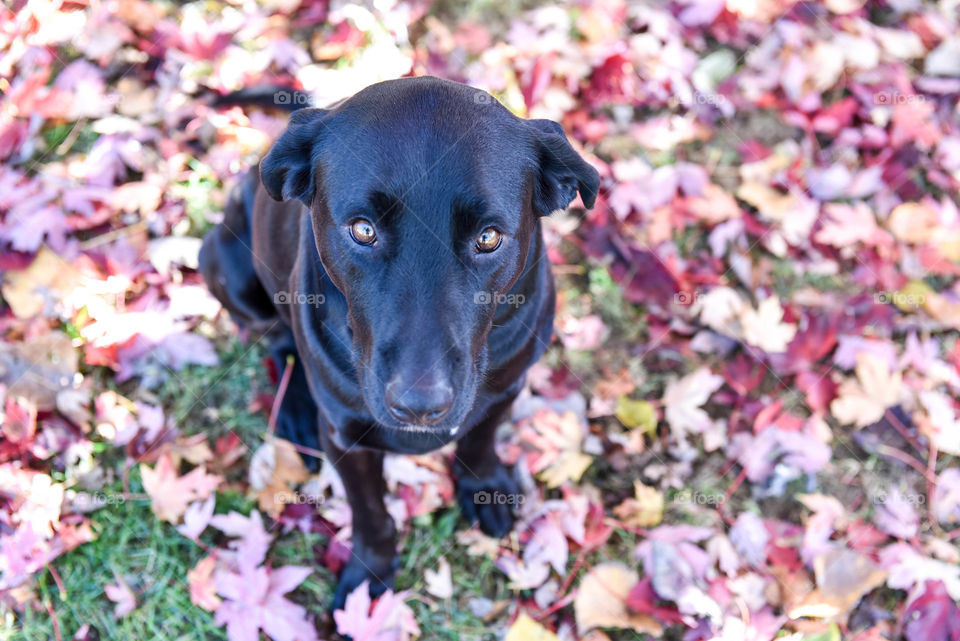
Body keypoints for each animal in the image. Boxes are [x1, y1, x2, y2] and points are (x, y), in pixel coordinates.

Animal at [199, 77, 596, 608]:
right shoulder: (345, 434)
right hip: (229, 268)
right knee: (275, 337)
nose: (419, 406)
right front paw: (371, 572)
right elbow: (370, 512)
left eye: (489, 238)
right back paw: (295, 408)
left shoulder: (506, 389)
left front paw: (484, 488)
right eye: (363, 229)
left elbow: (481, 439)